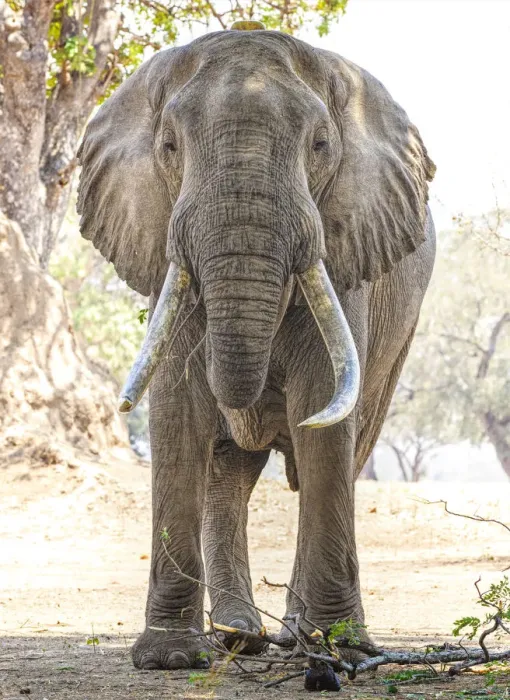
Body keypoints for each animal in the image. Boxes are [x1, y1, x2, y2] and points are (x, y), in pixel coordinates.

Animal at [77, 26, 436, 671]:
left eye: (320, 144)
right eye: (169, 145)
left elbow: (322, 414)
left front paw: (340, 647)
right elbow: (178, 409)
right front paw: (170, 658)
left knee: (347, 450)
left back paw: (295, 637)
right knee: (229, 473)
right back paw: (240, 636)